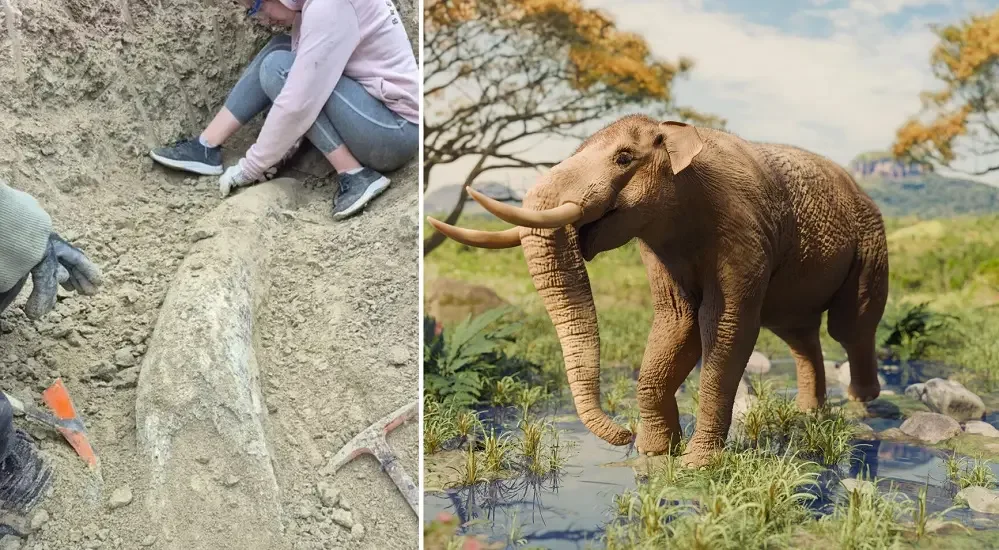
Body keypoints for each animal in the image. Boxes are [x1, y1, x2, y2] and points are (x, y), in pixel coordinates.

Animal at [427, 114, 889, 468]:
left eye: (623, 158)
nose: (623, 433)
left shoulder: (743, 234)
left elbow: (725, 326)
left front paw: (695, 465)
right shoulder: (658, 247)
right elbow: (677, 323)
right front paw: (653, 455)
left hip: (871, 241)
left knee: (850, 326)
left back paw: (862, 404)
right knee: (796, 331)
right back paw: (810, 411)